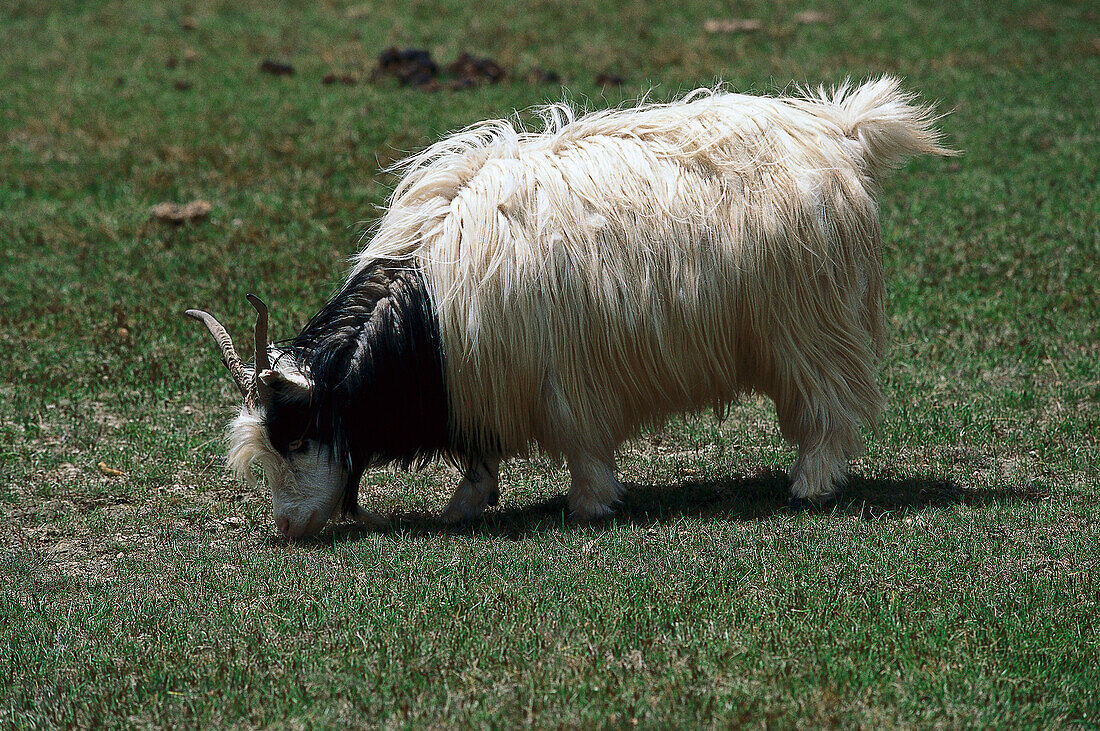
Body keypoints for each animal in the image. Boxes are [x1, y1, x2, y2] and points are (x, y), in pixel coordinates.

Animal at [187, 75, 954, 536]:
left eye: (298, 438)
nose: (287, 528)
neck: (426, 314)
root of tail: (842, 134)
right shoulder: (482, 381)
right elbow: (479, 454)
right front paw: (465, 504)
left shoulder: (558, 378)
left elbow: (582, 445)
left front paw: (590, 505)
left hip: (809, 326)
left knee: (832, 404)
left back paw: (812, 484)